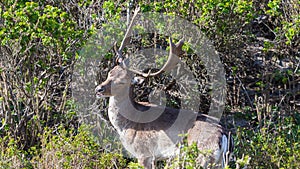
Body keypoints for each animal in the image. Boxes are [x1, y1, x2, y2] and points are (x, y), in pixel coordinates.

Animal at [95, 7, 233, 168]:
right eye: (110, 73)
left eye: (123, 82)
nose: (99, 89)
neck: (129, 124)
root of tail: (223, 135)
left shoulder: (144, 154)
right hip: (220, 161)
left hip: (202, 157)